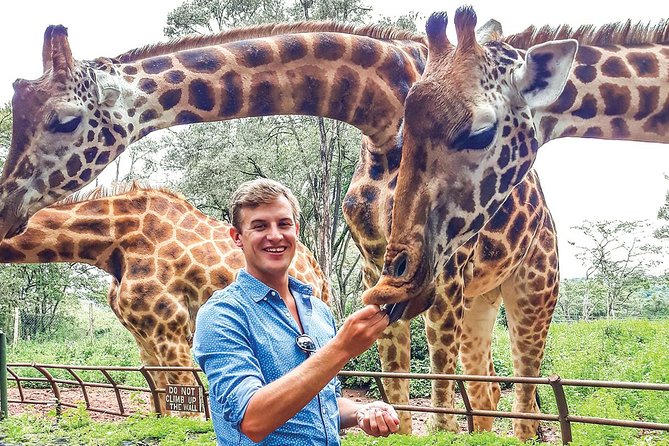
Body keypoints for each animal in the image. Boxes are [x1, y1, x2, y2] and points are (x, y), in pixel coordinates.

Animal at [0, 182, 329, 413]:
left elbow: (187, 411)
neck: (110, 244)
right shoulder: (143, 337)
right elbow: (159, 406)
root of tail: (317, 270)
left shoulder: (171, 329)